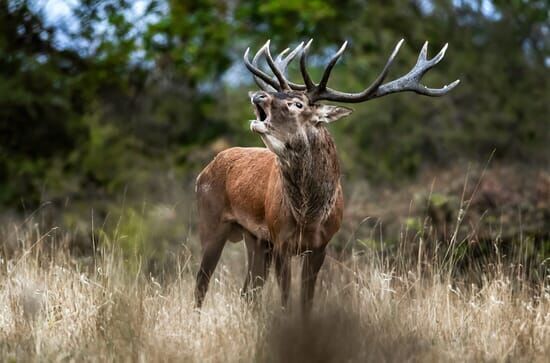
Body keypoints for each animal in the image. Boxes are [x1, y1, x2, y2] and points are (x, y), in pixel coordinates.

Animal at [195, 37, 462, 312]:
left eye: (297, 103)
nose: (258, 94)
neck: (308, 217)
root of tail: (205, 170)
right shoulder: (281, 241)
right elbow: (286, 298)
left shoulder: (320, 246)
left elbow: (306, 300)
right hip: (211, 222)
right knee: (202, 283)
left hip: (255, 239)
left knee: (247, 291)